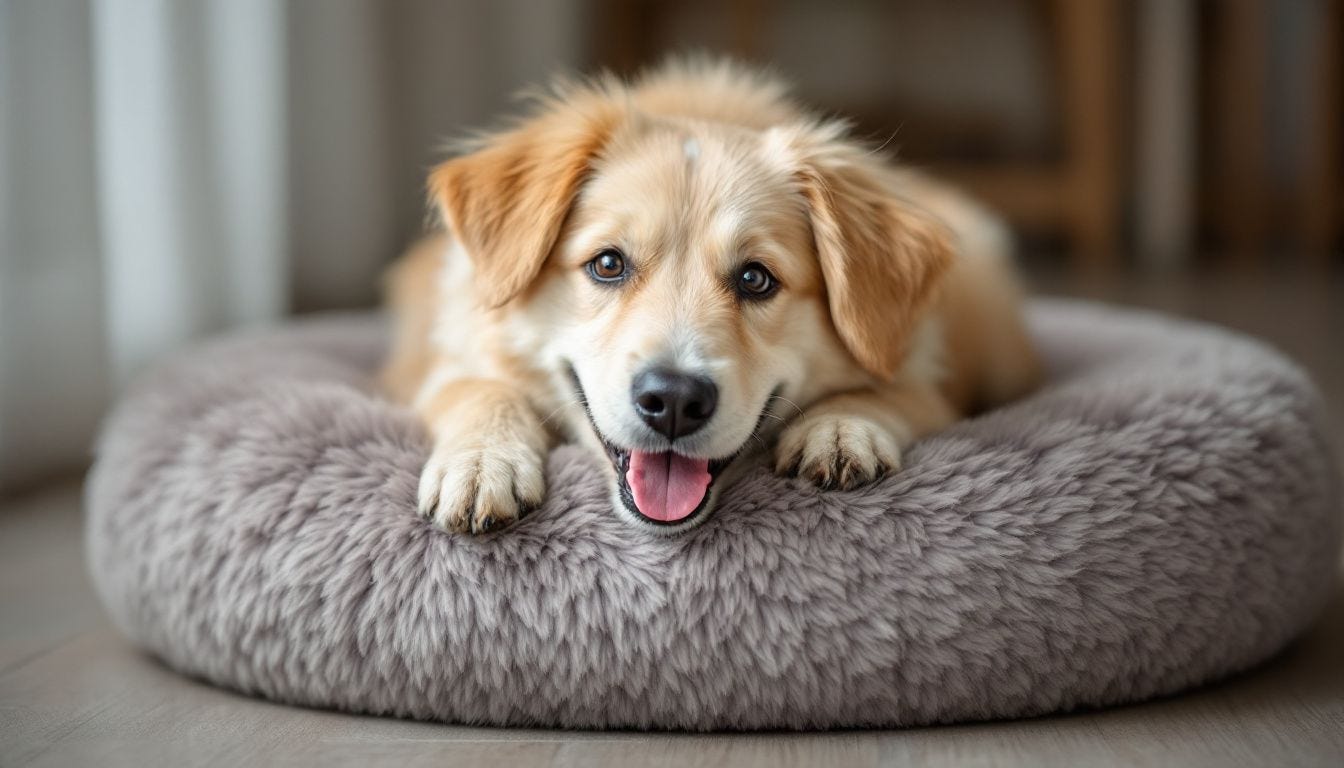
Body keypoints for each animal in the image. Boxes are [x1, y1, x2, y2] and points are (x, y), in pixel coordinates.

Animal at [379, 58, 1037, 535]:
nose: (672, 401)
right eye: (608, 264)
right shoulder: (434, 366)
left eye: (755, 279)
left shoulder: (930, 381)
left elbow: (895, 391)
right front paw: (479, 463)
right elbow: (475, 387)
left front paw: (842, 426)